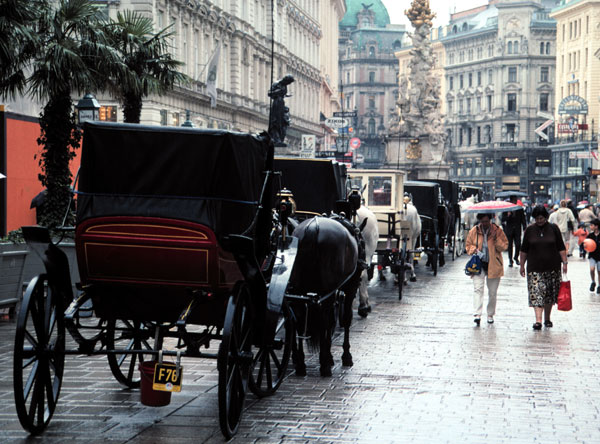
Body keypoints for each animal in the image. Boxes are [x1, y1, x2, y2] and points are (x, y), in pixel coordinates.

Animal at [286, 213, 366, 376]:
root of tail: (312, 228)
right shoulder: (350, 287)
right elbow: (344, 319)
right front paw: (344, 356)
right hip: (328, 291)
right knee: (325, 320)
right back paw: (324, 364)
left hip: (297, 290)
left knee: (299, 319)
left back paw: (301, 363)